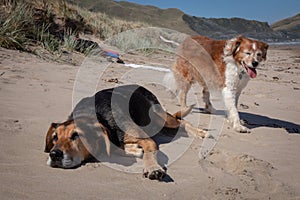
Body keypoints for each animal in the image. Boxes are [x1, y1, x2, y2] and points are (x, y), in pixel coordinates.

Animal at [44, 83, 206, 180]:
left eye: (76, 135)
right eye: (55, 137)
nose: (54, 154)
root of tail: (141, 86)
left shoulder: (147, 140)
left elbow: (149, 153)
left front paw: (152, 167)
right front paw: (133, 149)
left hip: (160, 117)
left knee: (182, 121)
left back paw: (201, 132)